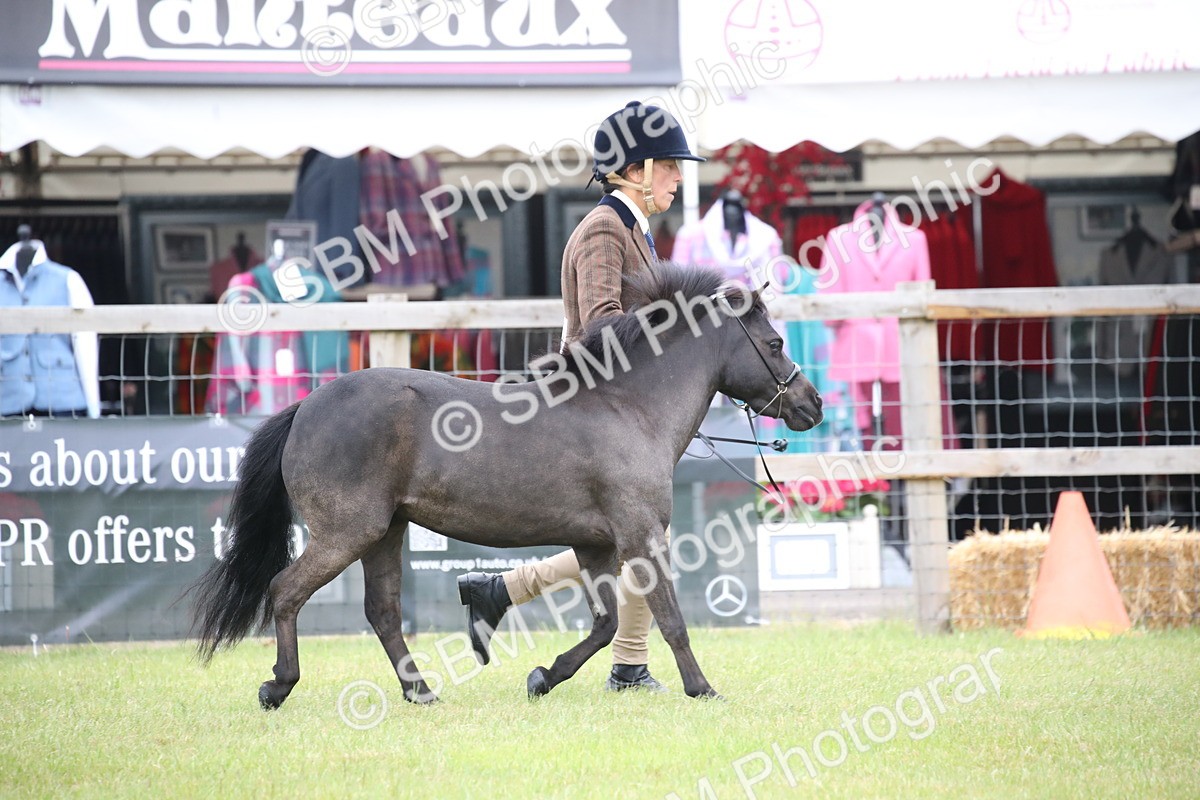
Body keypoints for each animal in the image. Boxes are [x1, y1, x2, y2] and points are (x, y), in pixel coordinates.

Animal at [188, 263, 823, 709]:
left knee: (383, 612)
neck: (626, 406)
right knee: (285, 591)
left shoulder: (596, 545)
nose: (811, 404)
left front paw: (543, 676)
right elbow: (670, 619)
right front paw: (703, 689)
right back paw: (278, 686)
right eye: (774, 344)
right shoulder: (641, 536)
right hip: (347, 532)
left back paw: (421, 691)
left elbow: (606, 623)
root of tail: (307, 406)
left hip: (385, 533)